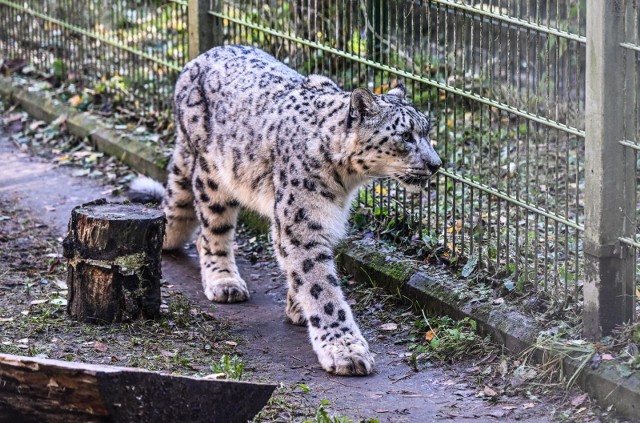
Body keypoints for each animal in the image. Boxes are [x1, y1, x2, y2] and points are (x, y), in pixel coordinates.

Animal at [130, 45, 440, 378]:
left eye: (426, 130)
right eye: (405, 136)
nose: (437, 164)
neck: (346, 182)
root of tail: (197, 59)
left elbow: (297, 268)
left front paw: (298, 309)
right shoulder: (302, 221)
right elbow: (321, 288)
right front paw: (345, 349)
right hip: (213, 175)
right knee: (210, 231)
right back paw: (224, 281)